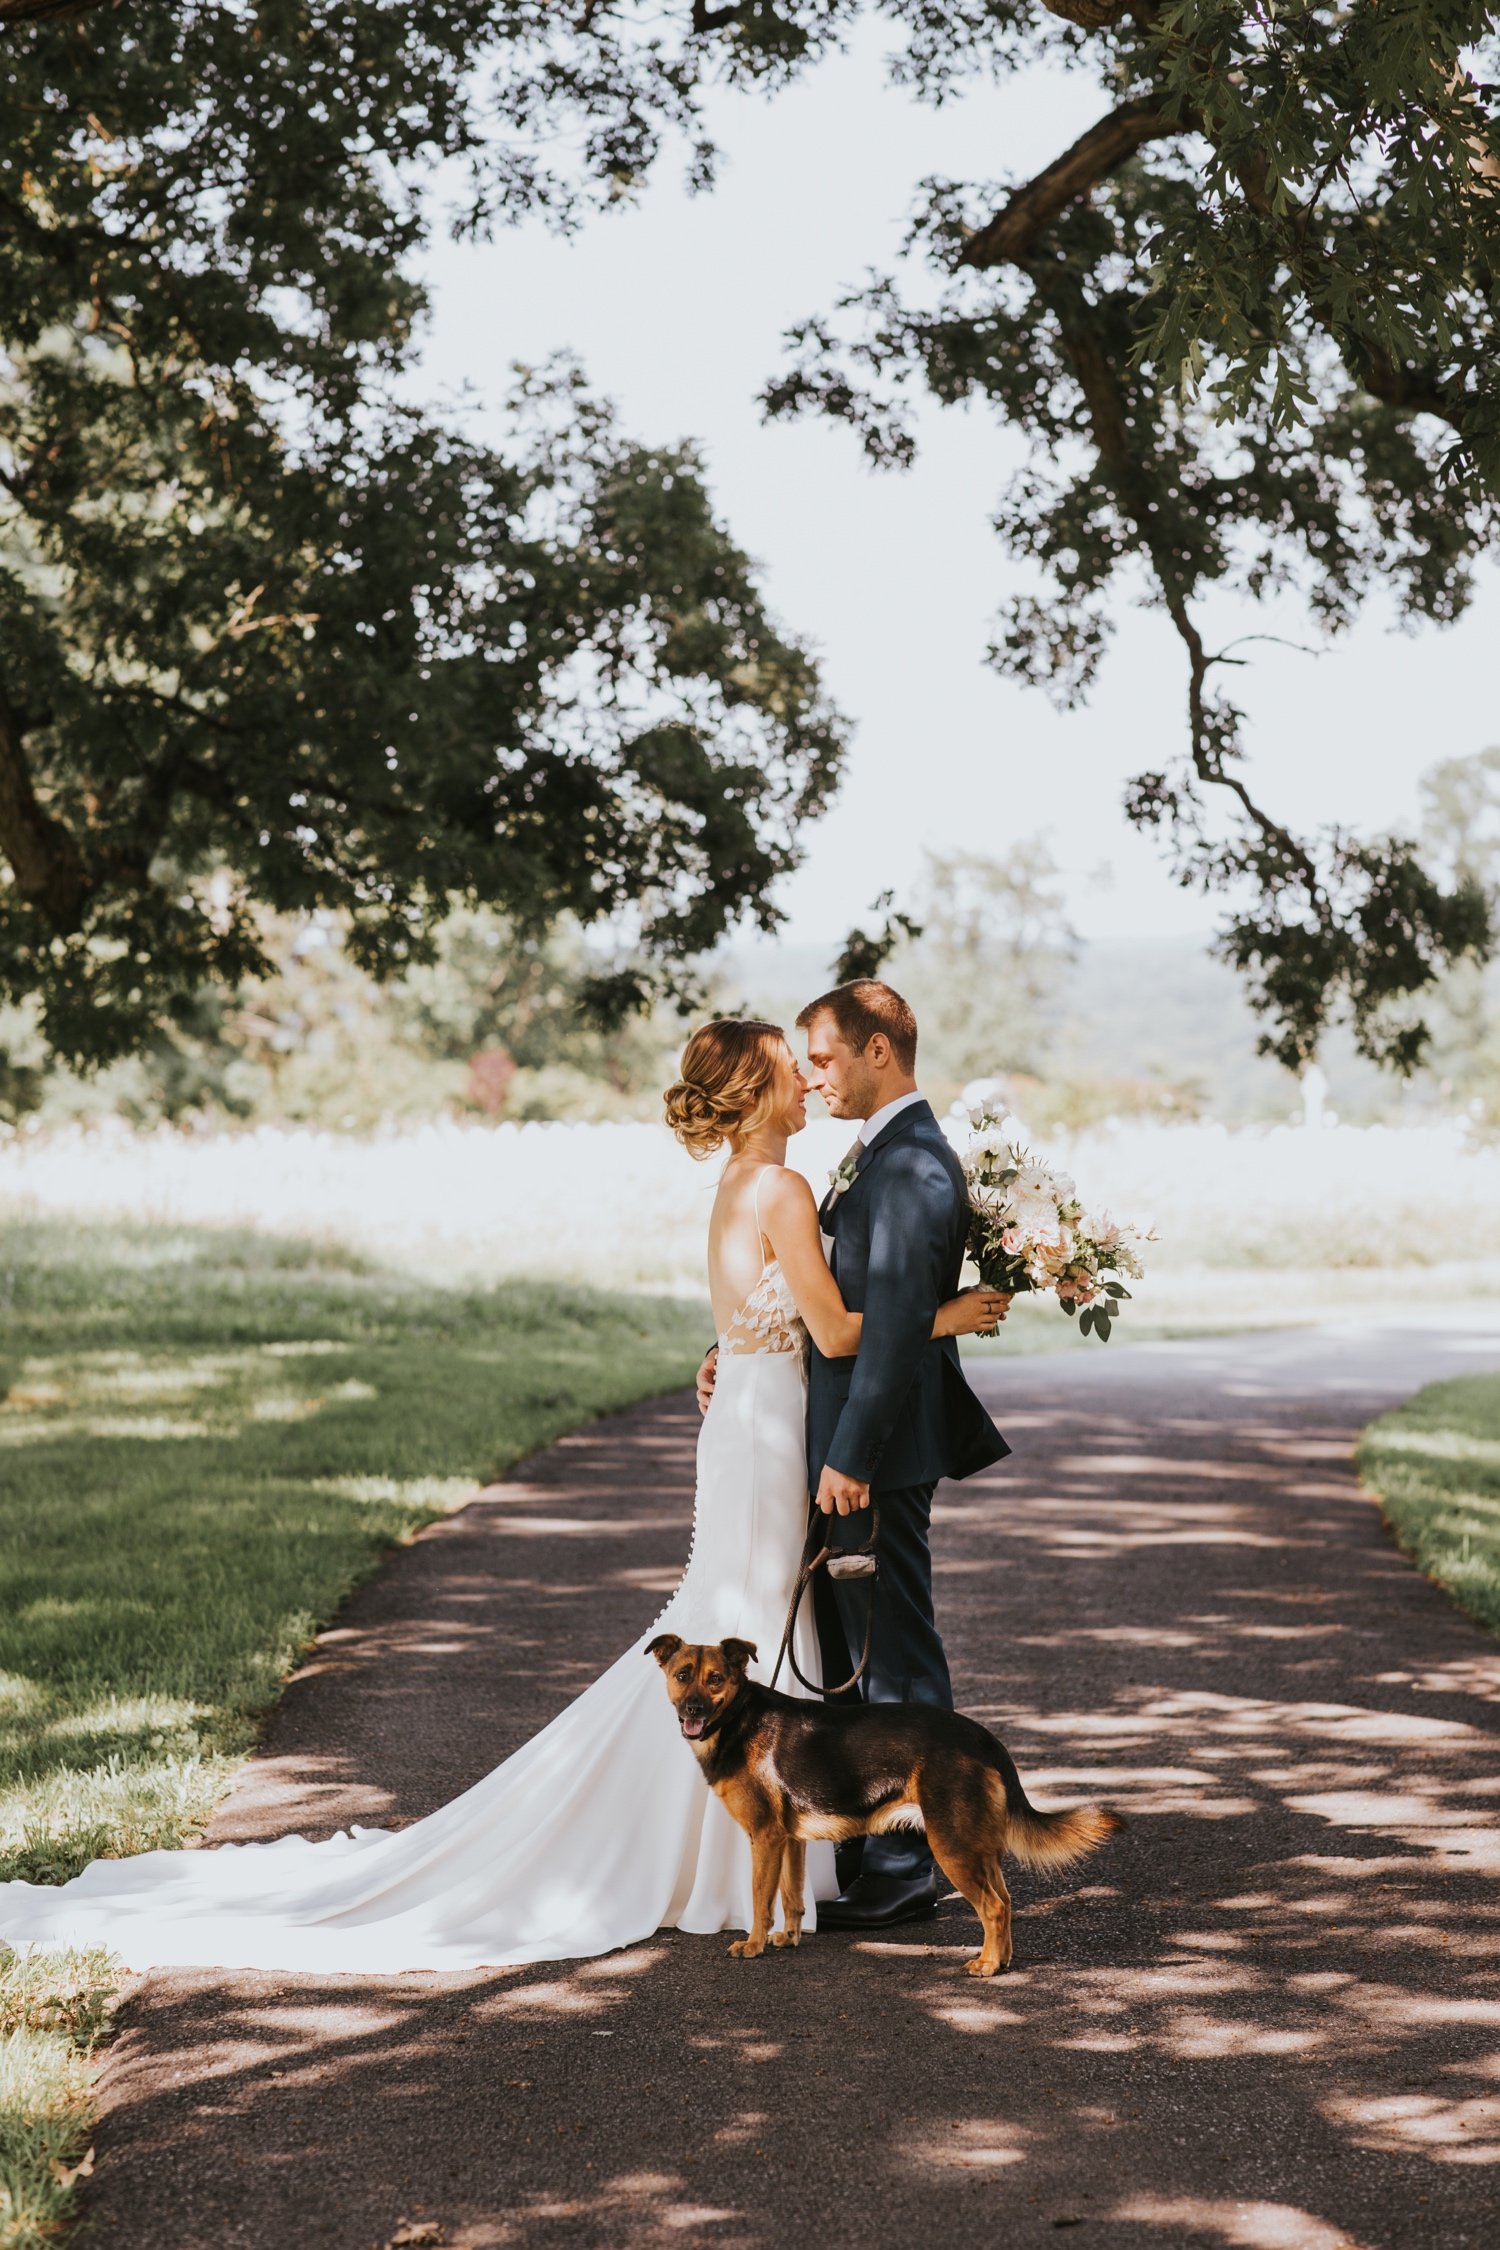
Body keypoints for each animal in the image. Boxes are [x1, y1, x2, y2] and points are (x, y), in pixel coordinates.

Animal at [652, 1638, 1119, 1971]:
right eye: (682, 1675)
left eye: (715, 1679)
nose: (693, 1709)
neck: (738, 1719)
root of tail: (982, 1737)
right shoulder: (790, 1840)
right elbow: (791, 1896)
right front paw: (789, 1938)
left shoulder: (765, 1837)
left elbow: (760, 1898)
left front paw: (753, 1945)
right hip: (976, 1845)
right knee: (1004, 1901)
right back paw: (1000, 1959)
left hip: (950, 1845)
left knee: (994, 1906)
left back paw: (987, 1965)